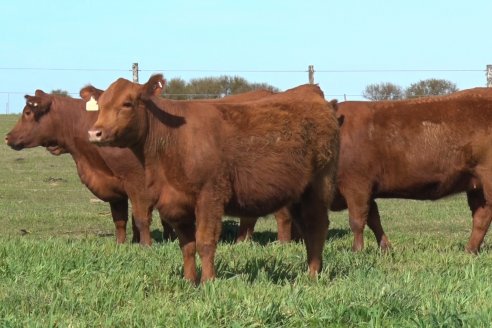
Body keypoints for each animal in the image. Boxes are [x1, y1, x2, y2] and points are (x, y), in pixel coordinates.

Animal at [86, 74, 340, 282]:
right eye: (101, 105)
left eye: (127, 104)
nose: (94, 133)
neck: (171, 141)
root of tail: (310, 91)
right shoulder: (176, 202)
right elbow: (187, 245)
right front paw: (189, 281)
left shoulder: (210, 196)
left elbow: (205, 242)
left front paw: (208, 281)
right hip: (297, 193)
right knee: (307, 229)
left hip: (319, 185)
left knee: (317, 226)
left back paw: (313, 275)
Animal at [334, 89, 492, 254]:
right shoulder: (367, 191)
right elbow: (374, 219)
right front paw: (385, 248)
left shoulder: (357, 186)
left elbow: (357, 221)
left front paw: (356, 251)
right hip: (476, 185)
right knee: (481, 216)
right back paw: (470, 250)